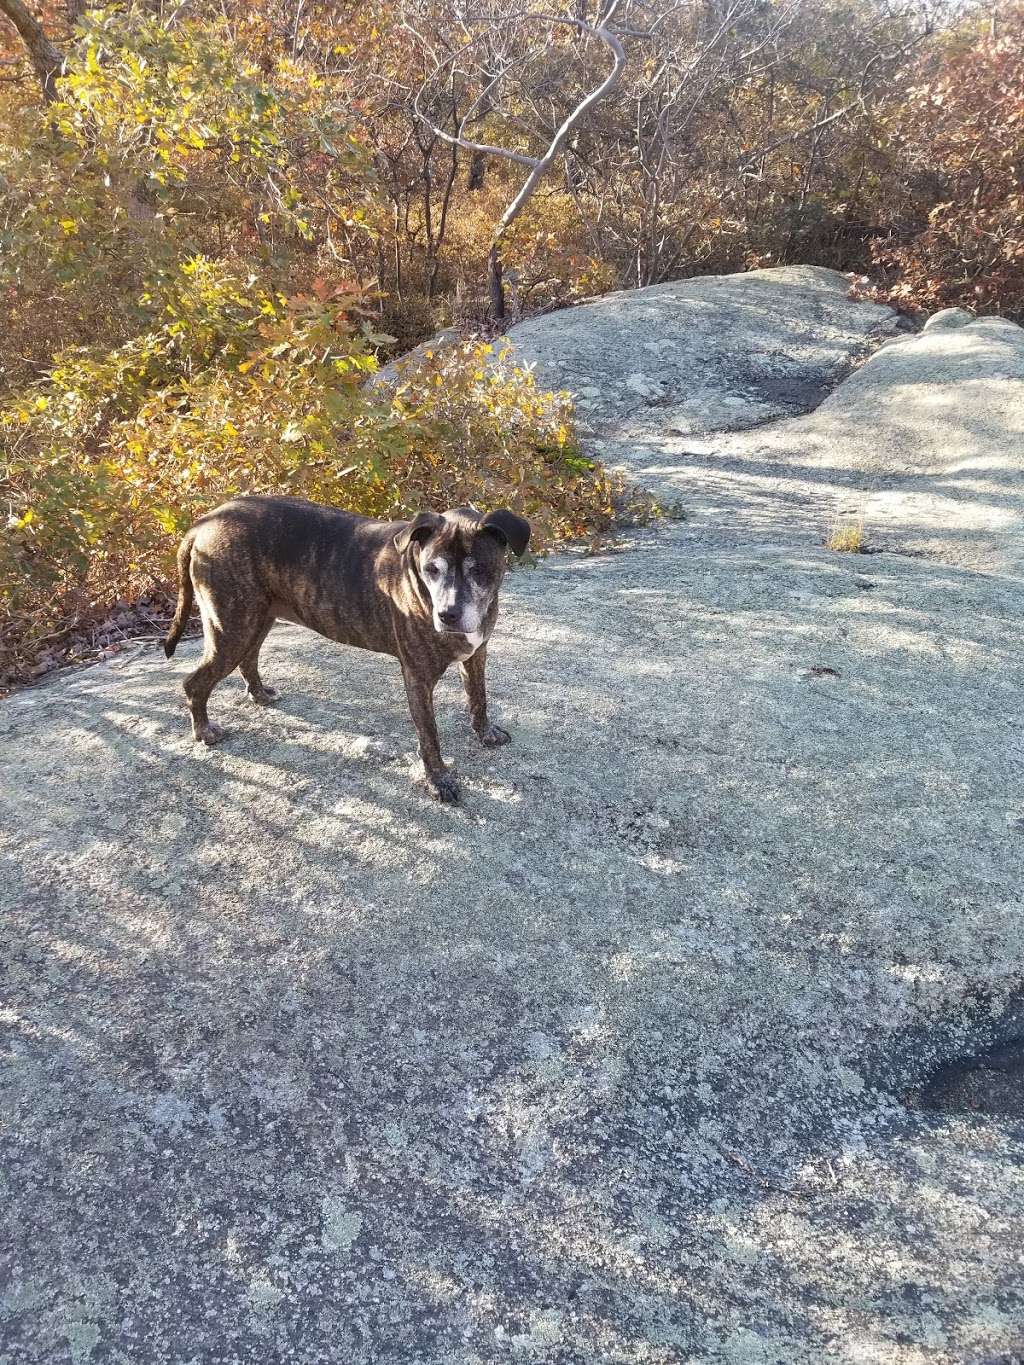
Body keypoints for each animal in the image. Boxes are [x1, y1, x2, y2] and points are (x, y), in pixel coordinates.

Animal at [164, 499, 532, 797]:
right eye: (432, 569)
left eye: (479, 569)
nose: (447, 614)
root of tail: (205, 521)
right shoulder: (418, 677)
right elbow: (430, 736)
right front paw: (439, 781)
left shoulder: (477, 654)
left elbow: (478, 698)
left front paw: (485, 733)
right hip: (231, 628)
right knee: (194, 682)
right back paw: (203, 730)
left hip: (255, 620)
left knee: (248, 658)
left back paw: (259, 694)